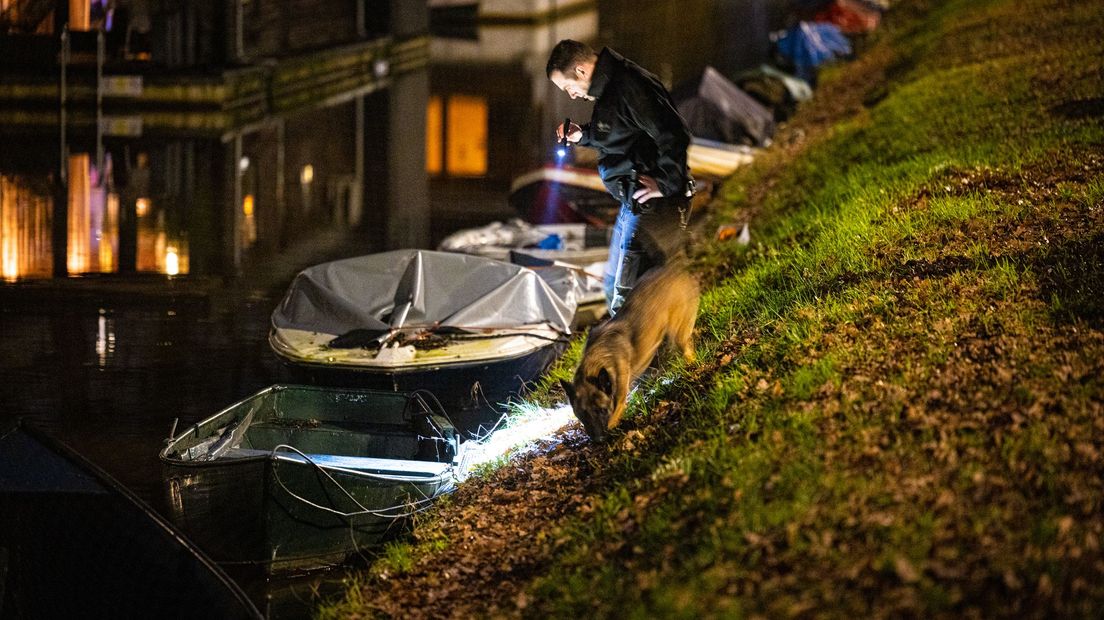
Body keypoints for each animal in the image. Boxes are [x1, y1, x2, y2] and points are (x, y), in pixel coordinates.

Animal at [560, 264, 697, 439]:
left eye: (603, 410)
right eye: (583, 414)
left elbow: (613, 419)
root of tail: (678, 271)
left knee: (687, 349)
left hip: (677, 333)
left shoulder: (620, 398)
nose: (598, 439)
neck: (596, 361)